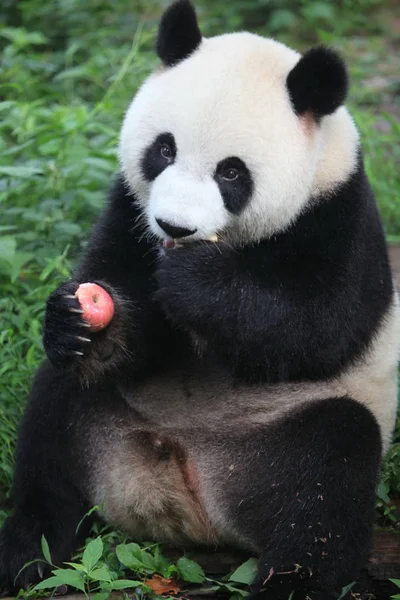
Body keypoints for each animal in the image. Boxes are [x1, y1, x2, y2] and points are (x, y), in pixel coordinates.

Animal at [0, 1, 400, 600]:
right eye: (163, 149)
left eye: (231, 171)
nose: (174, 226)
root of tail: (182, 501)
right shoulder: (129, 205)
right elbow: (128, 309)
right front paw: (84, 321)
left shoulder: (338, 214)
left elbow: (319, 328)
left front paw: (195, 283)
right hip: (105, 419)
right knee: (54, 415)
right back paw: (27, 549)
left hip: (280, 443)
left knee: (330, 480)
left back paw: (292, 581)